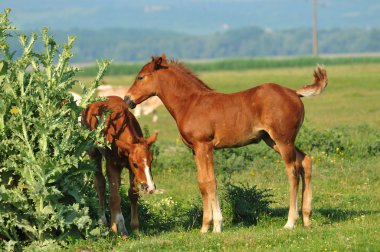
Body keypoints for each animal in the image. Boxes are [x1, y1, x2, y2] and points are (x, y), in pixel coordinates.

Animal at [81, 96, 158, 236]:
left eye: (151, 161)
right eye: (136, 164)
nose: (150, 188)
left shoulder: (129, 168)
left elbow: (133, 194)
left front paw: (135, 228)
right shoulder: (112, 165)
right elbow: (114, 198)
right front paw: (119, 229)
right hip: (94, 154)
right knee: (100, 183)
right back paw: (104, 221)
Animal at [124, 54, 326, 233]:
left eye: (140, 77)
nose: (127, 99)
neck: (190, 103)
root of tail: (294, 92)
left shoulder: (205, 146)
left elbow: (210, 181)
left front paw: (217, 225)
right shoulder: (195, 149)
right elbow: (202, 183)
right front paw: (204, 227)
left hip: (283, 141)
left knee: (293, 172)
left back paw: (290, 222)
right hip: (274, 141)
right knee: (306, 161)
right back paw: (307, 218)